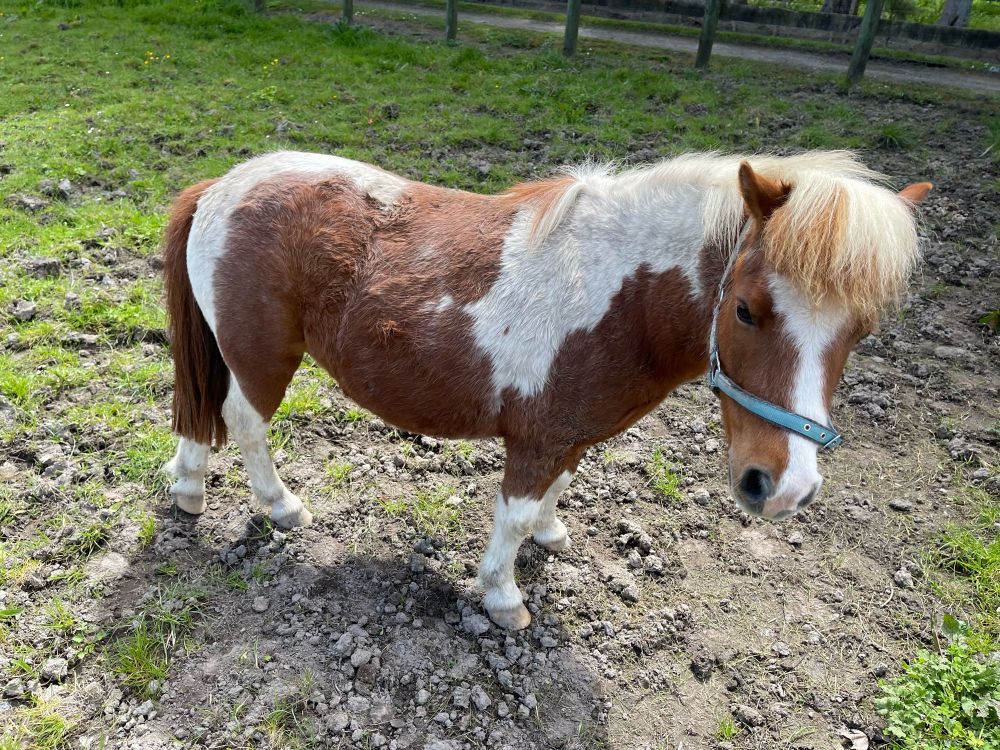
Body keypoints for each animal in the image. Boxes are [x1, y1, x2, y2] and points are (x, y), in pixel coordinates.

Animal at [162, 150, 930, 630]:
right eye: (745, 309)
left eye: (862, 328)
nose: (786, 488)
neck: (623, 298)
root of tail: (223, 185)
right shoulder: (535, 439)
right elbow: (514, 514)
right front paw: (503, 597)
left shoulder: (571, 434)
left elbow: (557, 492)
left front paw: (553, 537)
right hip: (264, 362)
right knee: (244, 424)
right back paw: (281, 508)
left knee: (201, 423)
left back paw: (189, 493)